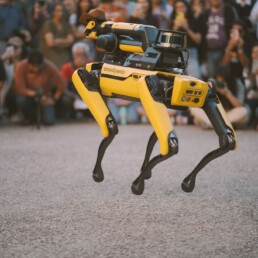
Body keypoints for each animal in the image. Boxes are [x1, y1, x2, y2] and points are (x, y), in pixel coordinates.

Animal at [71, 10, 237, 196]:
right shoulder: (150, 86)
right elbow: (169, 143)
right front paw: (138, 183)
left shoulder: (207, 95)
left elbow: (226, 139)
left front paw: (182, 182)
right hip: (88, 77)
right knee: (110, 125)